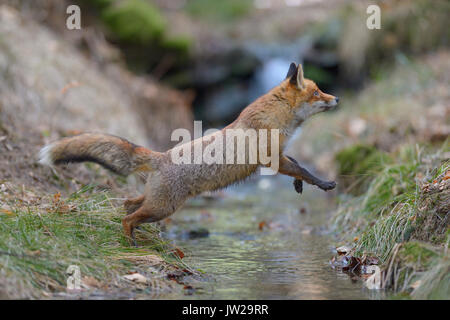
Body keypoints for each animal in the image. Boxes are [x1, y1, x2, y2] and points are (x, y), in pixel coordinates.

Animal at [40, 63, 338, 246]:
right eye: (317, 92)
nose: (337, 99)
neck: (274, 117)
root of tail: (161, 156)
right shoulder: (269, 157)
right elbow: (303, 169)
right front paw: (323, 183)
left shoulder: (278, 155)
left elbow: (298, 165)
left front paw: (299, 185)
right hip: (163, 207)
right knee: (128, 217)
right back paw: (131, 241)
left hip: (154, 202)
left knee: (128, 204)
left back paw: (138, 234)